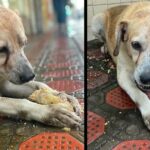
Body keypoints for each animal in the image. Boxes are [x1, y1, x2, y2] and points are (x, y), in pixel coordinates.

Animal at [91, 1, 150, 129]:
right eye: (135, 45)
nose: (146, 79)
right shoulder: (123, 77)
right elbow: (139, 95)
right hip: (96, 22)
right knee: (103, 40)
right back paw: (105, 48)